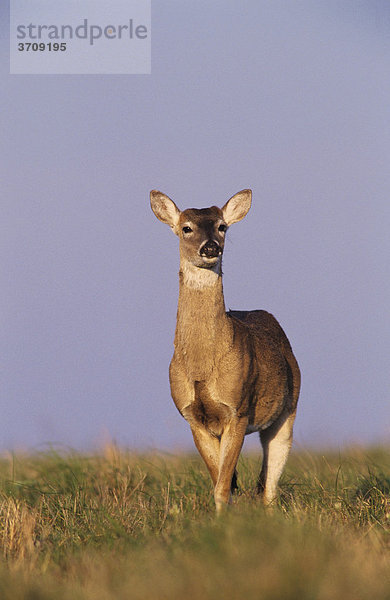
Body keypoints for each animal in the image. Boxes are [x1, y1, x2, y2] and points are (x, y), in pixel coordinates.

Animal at [151, 190, 300, 512]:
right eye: (186, 228)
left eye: (222, 226)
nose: (211, 247)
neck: (202, 365)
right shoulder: (191, 415)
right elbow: (222, 481)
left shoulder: (238, 409)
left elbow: (222, 487)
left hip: (288, 409)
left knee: (270, 482)